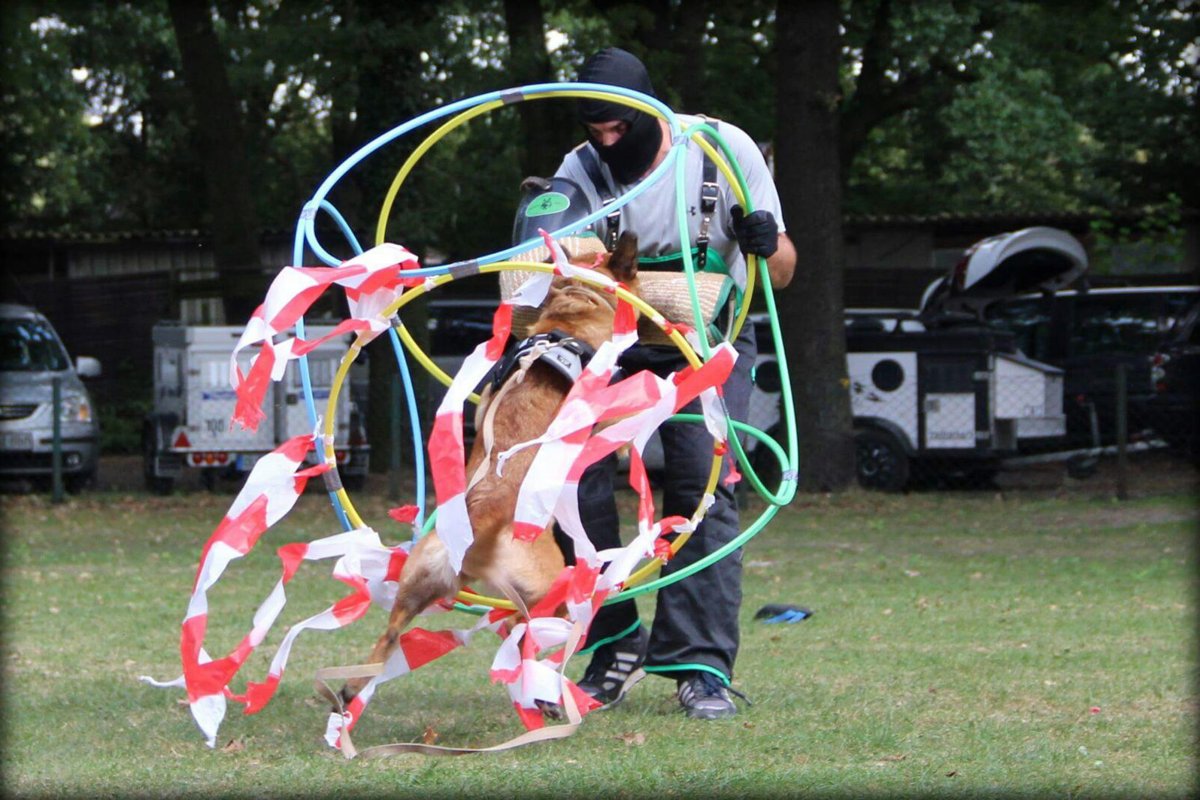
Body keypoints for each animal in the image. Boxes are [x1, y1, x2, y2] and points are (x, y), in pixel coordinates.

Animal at [340, 232, 638, 705]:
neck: (577, 304)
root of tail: (480, 522)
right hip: (546, 588)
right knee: (521, 629)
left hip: (417, 586)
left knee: (387, 638)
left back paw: (351, 689)